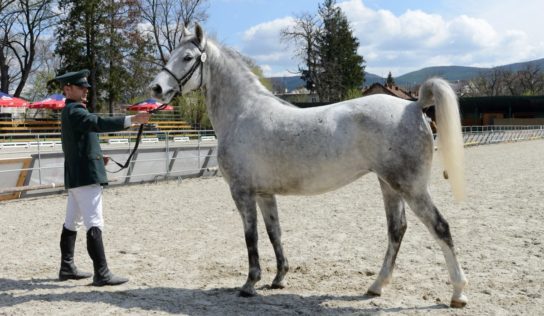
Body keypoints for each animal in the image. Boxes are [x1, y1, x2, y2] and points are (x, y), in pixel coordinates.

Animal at [148, 23, 468, 308]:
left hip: (412, 188)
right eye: (172, 54)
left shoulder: (242, 192)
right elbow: (274, 233)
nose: (156, 88)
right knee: (397, 230)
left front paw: (250, 284)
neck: (242, 113)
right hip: (389, 185)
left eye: (188, 57)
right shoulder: (264, 194)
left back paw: (458, 293)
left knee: (440, 227)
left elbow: (251, 237)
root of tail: (413, 105)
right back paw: (376, 286)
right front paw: (279, 278)